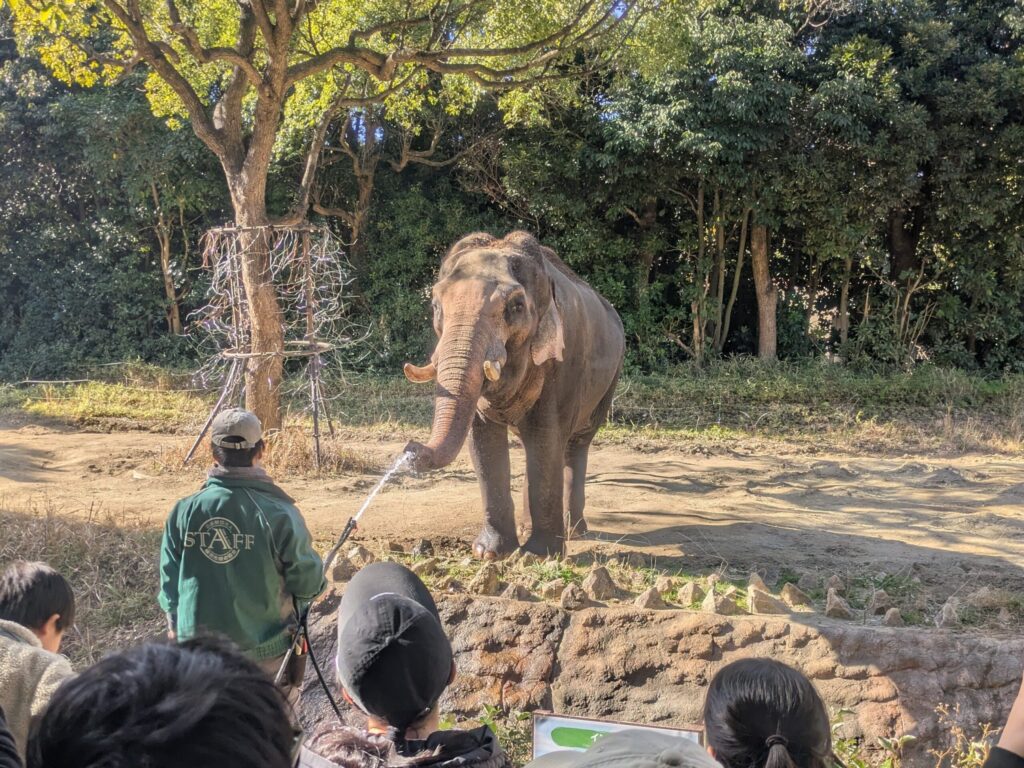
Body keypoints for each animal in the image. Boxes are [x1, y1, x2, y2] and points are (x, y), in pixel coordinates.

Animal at [403, 231, 625, 559]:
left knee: (574, 443)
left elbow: (546, 437)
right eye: (436, 306)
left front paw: (539, 554)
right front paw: (490, 553)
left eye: (516, 306)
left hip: (611, 377)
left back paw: (574, 531)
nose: (411, 449)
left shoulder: (563, 363)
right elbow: (483, 441)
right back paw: (529, 528)